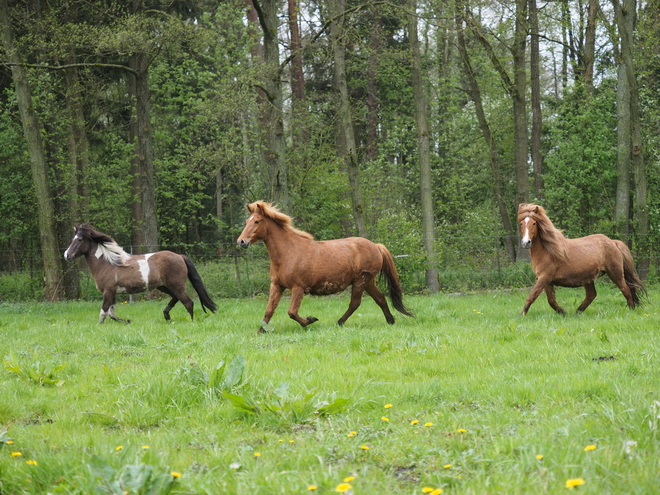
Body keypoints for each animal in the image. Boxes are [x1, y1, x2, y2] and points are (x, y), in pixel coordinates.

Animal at [64, 223, 215, 324]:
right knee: (176, 298)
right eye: (72, 239)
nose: (67, 255)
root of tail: (180, 256)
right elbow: (111, 314)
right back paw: (166, 316)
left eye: (79, 240)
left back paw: (190, 321)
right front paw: (128, 321)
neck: (106, 263)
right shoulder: (113, 293)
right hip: (164, 286)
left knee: (188, 302)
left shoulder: (108, 291)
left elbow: (103, 313)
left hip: (176, 285)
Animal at [237, 202, 412, 334]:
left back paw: (339, 322)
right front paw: (261, 331)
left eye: (257, 221)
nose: (241, 241)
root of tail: (376, 246)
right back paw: (390, 320)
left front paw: (310, 320)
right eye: (246, 221)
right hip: (368, 282)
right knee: (380, 299)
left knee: (355, 303)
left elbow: (292, 312)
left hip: (360, 281)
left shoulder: (298, 288)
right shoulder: (277, 286)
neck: (288, 253)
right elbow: (269, 310)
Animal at [516, 204, 644, 314]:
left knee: (626, 290)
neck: (548, 251)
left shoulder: (544, 278)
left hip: (615, 273)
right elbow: (551, 301)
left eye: (534, 223)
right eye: (521, 223)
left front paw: (522, 315)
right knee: (591, 295)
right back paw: (577, 312)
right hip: (588, 278)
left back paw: (631, 311)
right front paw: (562, 312)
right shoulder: (546, 280)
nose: (526, 243)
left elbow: (531, 297)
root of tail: (613, 242)